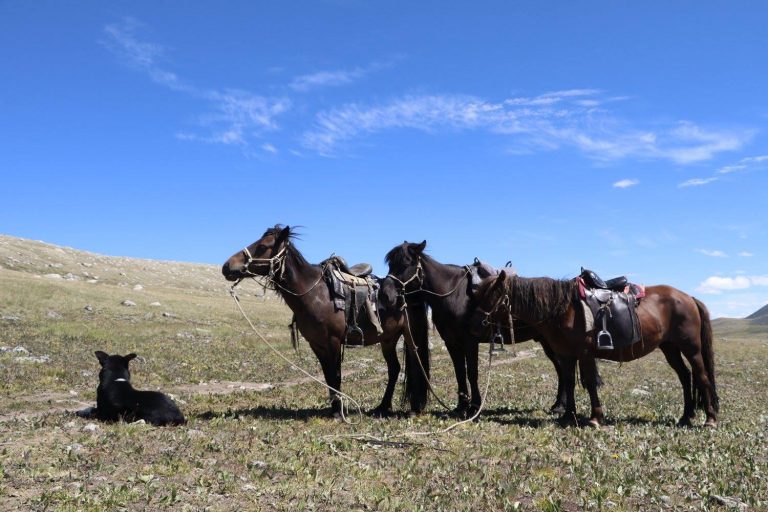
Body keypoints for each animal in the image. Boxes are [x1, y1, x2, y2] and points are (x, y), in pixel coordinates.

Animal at [222, 225, 430, 418]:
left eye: (263, 246)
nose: (227, 266)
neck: (314, 294)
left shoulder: (334, 341)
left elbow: (336, 375)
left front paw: (339, 412)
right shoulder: (317, 344)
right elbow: (328, 376)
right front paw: (334, 409)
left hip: (410, 336)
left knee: (416, 366)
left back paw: (413, 408)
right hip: (388, 339)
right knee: (394, 369)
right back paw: (382, 407)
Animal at [385, 241, 595, 417]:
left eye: (406, 263)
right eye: (390, 264)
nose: (386, 293)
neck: (452, 294)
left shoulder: (470, 341)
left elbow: (472, 373)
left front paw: (474, 407)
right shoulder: (452, 343)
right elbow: (460, 372)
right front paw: (461, 406)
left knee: (562, 368)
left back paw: (560, 406)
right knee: (560, 369)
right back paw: (558, 404)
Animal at [470, 270, 719, 428]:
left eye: (491, 295)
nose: (475, 323)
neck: (562, 309)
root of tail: (689, 298)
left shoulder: (585, 353)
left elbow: (589, 383)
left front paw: (595, 418)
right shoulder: (566, 355)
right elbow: (569, 383)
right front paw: (568, 416)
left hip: (691, 348)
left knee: (702, 377)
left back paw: (710, 419)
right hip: (670, 348)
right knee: (685, 377)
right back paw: (686, 417)